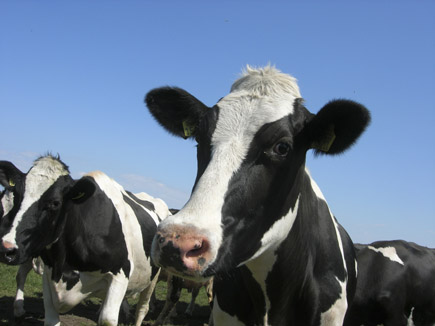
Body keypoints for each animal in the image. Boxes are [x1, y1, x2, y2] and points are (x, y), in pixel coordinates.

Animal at [0, 155, 170, 326]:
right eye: (17, 195)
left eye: (55, 203)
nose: (6, 249)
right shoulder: (48, 275)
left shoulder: (120, 274)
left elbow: (108, 320)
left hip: (152, 278)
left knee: (142, 309)